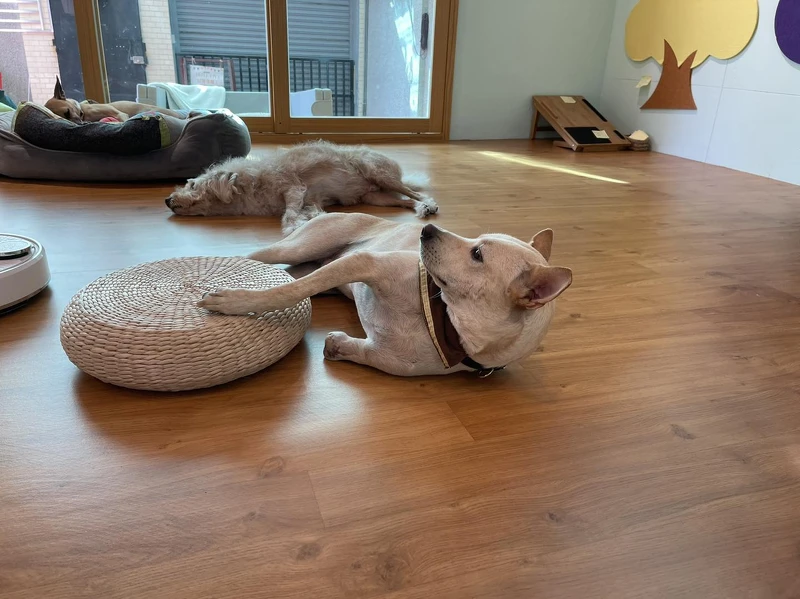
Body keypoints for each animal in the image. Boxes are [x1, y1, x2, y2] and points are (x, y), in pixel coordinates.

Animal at [165, 141, 439, 234]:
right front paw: (311, 220)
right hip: (376, 198)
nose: (167, 200)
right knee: (407, 200)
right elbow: (311, 211)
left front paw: (293, 227)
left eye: (191, 183)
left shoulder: (294, 188)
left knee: (415, 193)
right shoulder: (311, 199)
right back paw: (421, 208)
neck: (252, 182)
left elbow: (289, 213)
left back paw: (429, 205)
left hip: (378, 172)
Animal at [198, 213, 572, 377]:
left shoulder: (386, 357)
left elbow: (350, 347)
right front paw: (235, 301)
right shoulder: (365, 263)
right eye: (475, 241)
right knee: (259, 258)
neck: (443, 319)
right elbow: (288, 292)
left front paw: (337, 347)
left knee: (301, 274)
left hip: (315, 264)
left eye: (477, 254)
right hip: (301, 246)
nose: (427, 228)